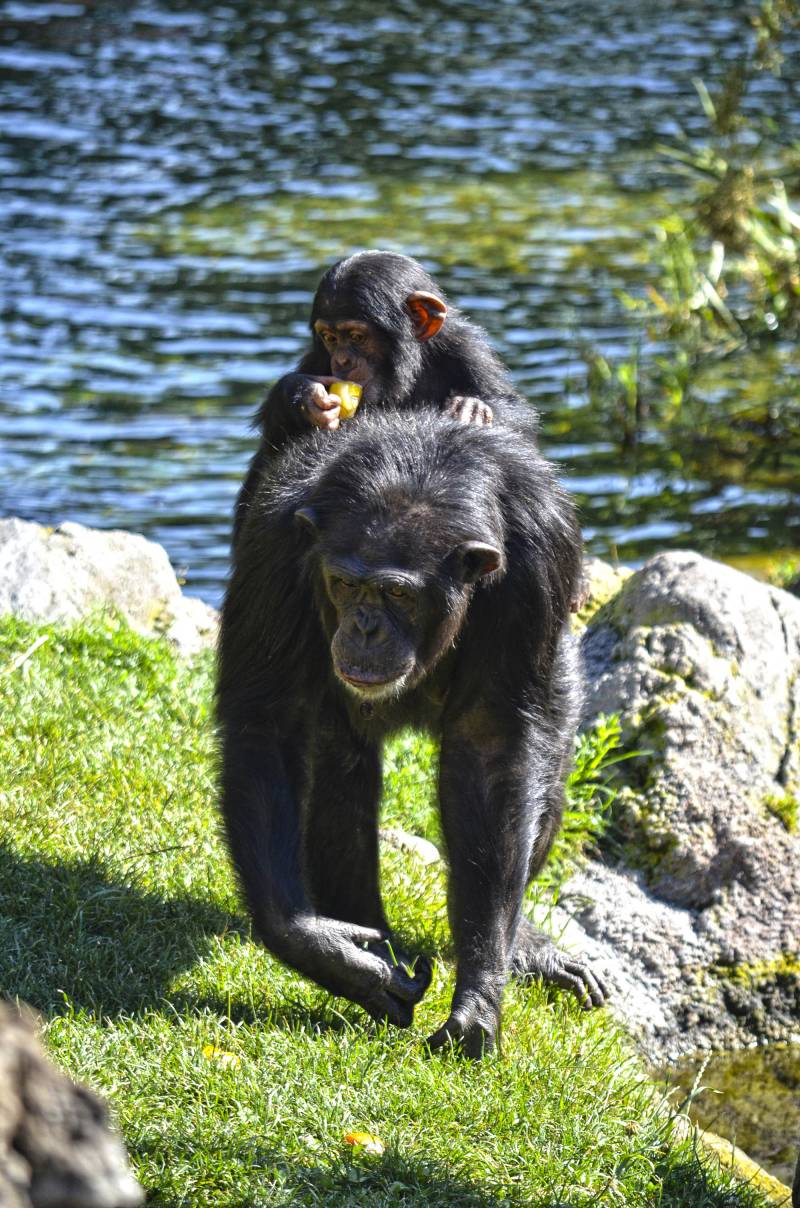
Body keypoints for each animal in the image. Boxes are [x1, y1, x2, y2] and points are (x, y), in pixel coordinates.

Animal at [219, 405, 609, 1058]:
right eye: (345, 583)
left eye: (399, 593)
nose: (366, 627)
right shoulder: (274, 545)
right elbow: (265, 721)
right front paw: (321, 948)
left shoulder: (540, 560)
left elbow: (490, 748)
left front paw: (479, 994)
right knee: (339, 773)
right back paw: (368, 935)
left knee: (545, 777)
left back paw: (526, 947)